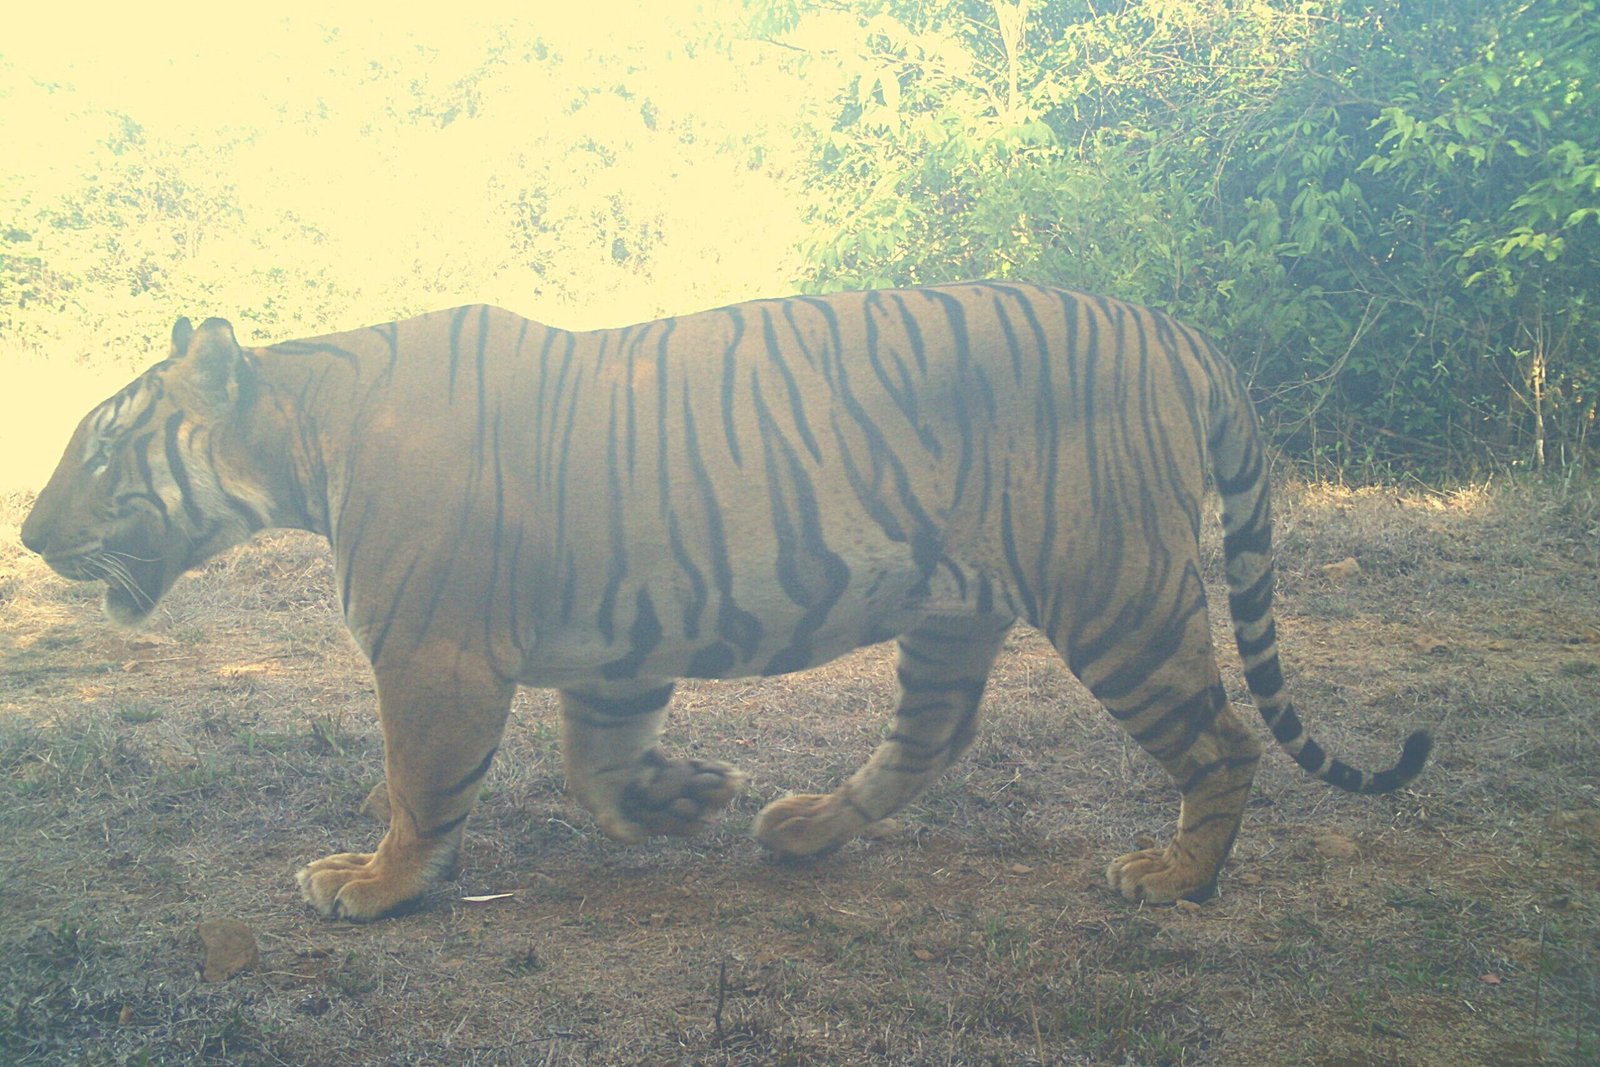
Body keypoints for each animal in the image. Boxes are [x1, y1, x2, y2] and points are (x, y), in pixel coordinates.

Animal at [20, 282, 1431, 921]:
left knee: (1223, 738)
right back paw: (797, 826)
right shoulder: (612, 644)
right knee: (930, 737)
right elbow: (595, 767)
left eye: (98, 448)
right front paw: (684, 797)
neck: (302, 434)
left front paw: (370, 886)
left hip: (1116, 594)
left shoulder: (433, 654)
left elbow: (423, 784)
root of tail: (1178, 330)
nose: (28, 535)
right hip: (952, 605)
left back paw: (1174, 872)